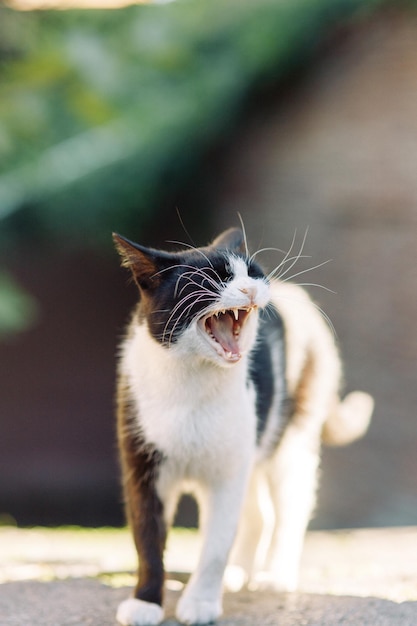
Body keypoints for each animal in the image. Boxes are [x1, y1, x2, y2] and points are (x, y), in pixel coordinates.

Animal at [112, 225, 372, 624]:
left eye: (252, 271)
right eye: (209, 278)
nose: (250, 288)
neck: (192, 386)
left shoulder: (227, 473)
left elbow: (217, 542)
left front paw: (201, 603)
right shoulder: (141, 463)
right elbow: (146, 536)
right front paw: (146, 602)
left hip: (289, 441)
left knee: (289, 510)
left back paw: (275, 576)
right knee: (258, 515)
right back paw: (236, 574)